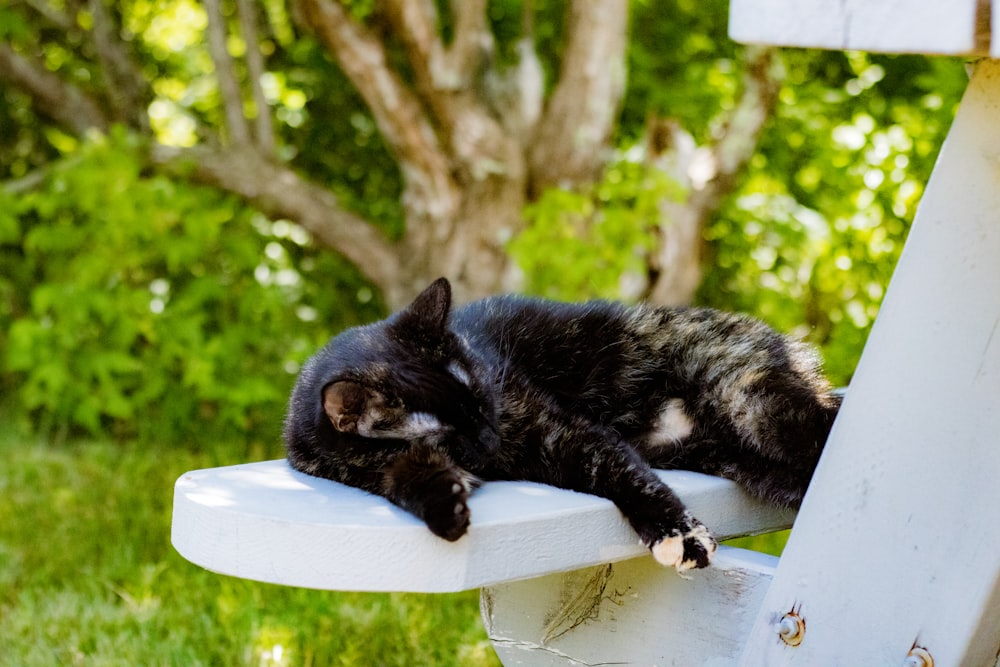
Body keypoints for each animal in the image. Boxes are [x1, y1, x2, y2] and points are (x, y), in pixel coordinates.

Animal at [286, 276, 840, 576]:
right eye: (450, 434)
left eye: (482, 397)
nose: (492, 440)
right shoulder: (376, 473)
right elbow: (408, 477)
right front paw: (445, 508)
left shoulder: (560, 433)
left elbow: (628, 478)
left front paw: (679, 535)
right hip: (746, 464)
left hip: (753, 404)